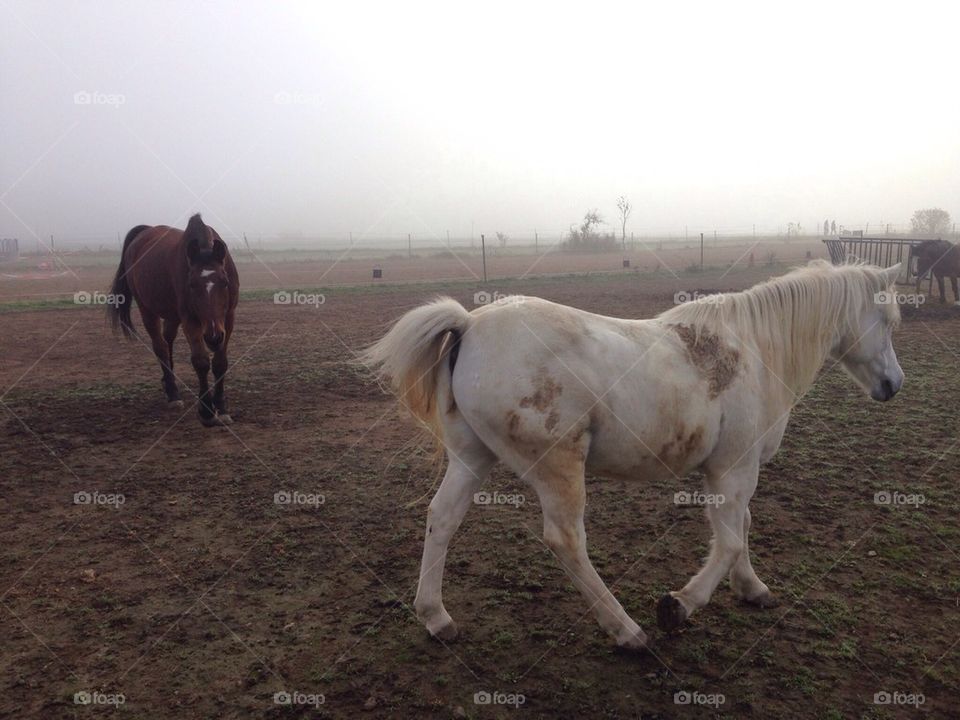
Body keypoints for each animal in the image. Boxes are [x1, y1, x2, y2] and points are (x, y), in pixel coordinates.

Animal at [107, 214, 239, 426]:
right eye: (192, 284)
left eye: (225, 282)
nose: (213, 336)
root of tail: (145, 232)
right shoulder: (190, 320)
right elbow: (201, 361)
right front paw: (206, 411)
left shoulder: (228, 319)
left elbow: (220, 363)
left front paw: (221, 407)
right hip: (147, 309)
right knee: (160, 346)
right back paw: (172, 393)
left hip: (173, 315)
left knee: (167, 339)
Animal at [362, 260, 904, 650]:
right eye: (886, 320)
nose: (893, 385)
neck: (753, 350)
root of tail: (470, 324)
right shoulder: (733, 468)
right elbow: (729, 541)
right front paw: (680, 606)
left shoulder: (731, 471)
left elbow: (741, 530)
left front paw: (752, 588)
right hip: (559, 468)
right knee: (566, 541)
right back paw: (626, 630)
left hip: (471, 459)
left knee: (442, 519)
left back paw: (436, 618)